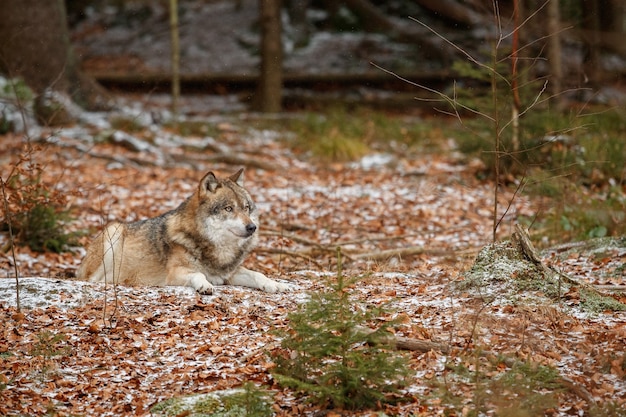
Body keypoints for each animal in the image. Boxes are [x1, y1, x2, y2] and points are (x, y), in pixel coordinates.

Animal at [76, 168, 290, 292]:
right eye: (228, 208)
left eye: (246, 208)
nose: (252, 227)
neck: (215, 249)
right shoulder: (175, 273)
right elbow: (198, 274)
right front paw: (204, 285)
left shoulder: (230, 273)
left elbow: (258, 274)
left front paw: (275, 285)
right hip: (113, 231)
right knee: (91, 280)